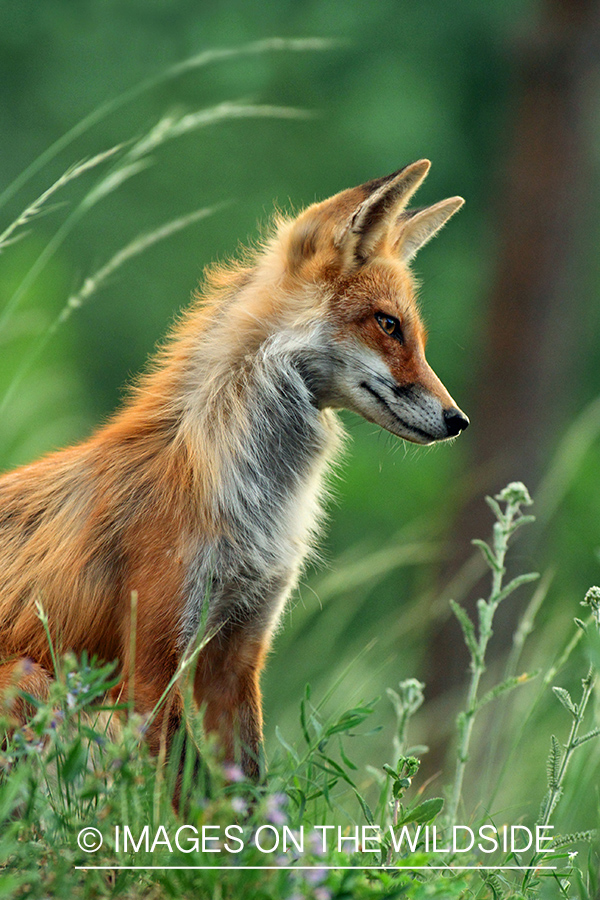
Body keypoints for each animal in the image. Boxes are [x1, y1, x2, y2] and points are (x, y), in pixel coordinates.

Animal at [0, 162, 468, 788]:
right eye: (388, 325)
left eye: (415, 334)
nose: (458, 420)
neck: (245, 504)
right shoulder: (153, 664)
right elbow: (176, 793)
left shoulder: (236, 653)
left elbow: (246, 796)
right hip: (33, 681)